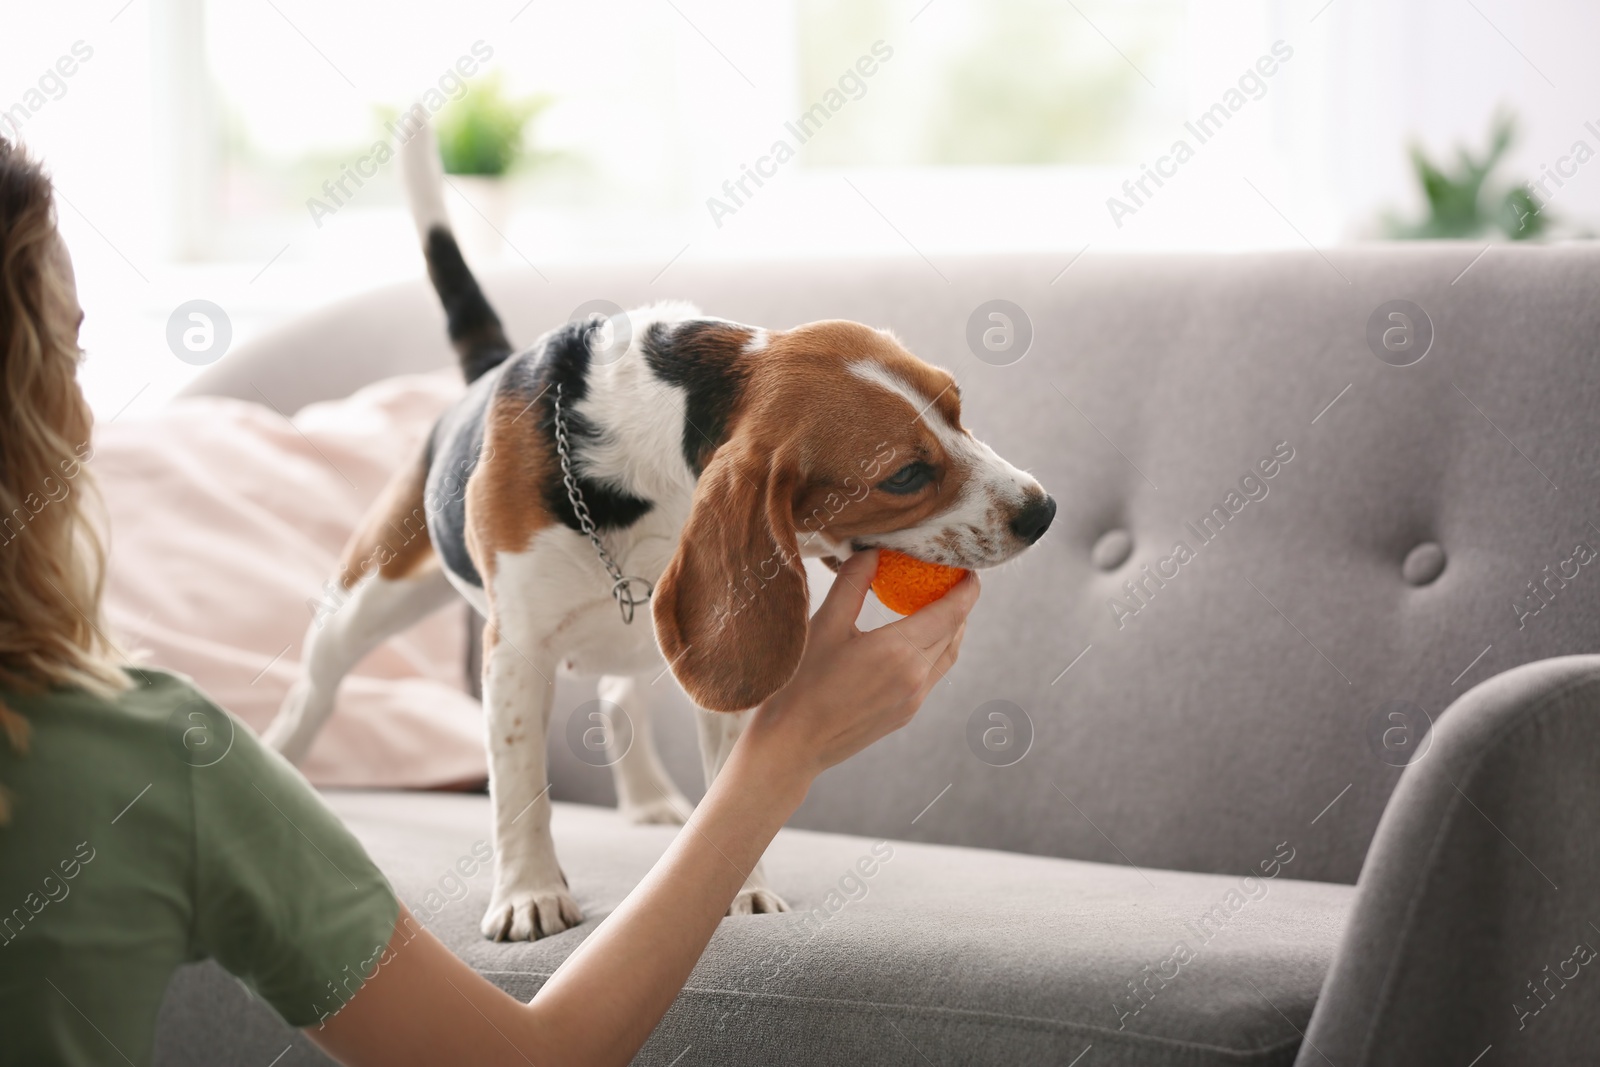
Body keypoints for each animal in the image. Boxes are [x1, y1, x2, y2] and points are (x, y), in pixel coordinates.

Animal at [268, 127, 1056, 940]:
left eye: (958, 409)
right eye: (904, 475)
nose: (1043, 510)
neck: (649, 447)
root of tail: (486, 370)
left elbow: (727, 781)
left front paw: (741, 887)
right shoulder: (514, 651)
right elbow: (517, 783)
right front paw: (528, 892)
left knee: (619, 694)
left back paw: (648, 798)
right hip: (367, 599)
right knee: (314, 693)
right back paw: (283, 765)